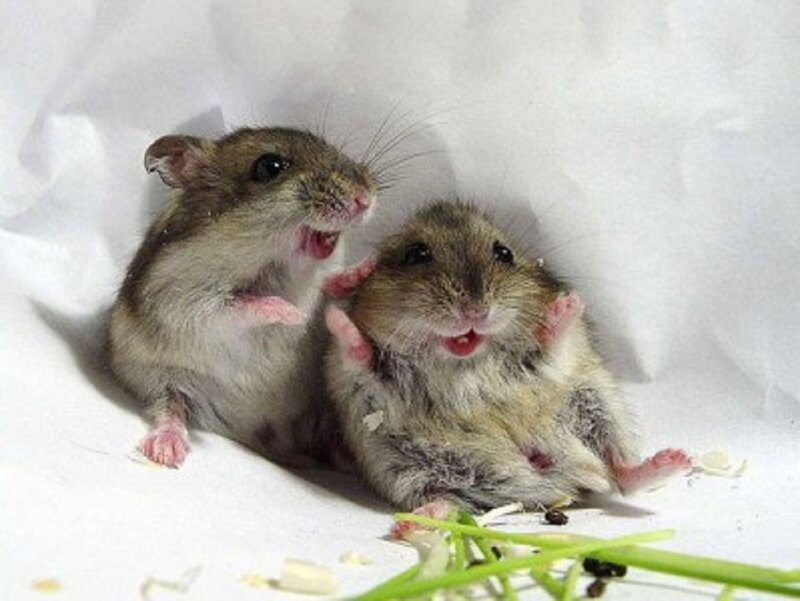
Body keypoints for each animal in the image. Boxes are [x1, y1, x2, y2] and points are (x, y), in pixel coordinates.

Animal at [108, 127, 375, 467]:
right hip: (159, 381)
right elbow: (242, 304)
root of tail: (247, 431)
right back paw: (166, 451)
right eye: (269, 167)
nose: (365, 198)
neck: (277, 266)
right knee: (169, 408)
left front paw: (366, 267)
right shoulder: (182, 300)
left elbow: (329, 287)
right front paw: (292, 314)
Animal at [322, 201, 690, 532]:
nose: (474, 311)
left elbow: (552, 347)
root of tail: (551, 480)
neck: (466, 361)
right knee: (447, 501)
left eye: (503, 253)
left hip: (599, 404)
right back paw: (412, 523)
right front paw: (344, 305)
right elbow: (361, 358)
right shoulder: (369, 384)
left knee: (622, 472)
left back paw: (676, 459)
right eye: (416, 255)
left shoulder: (553, 363)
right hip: (405, 467)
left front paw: (567, 305)